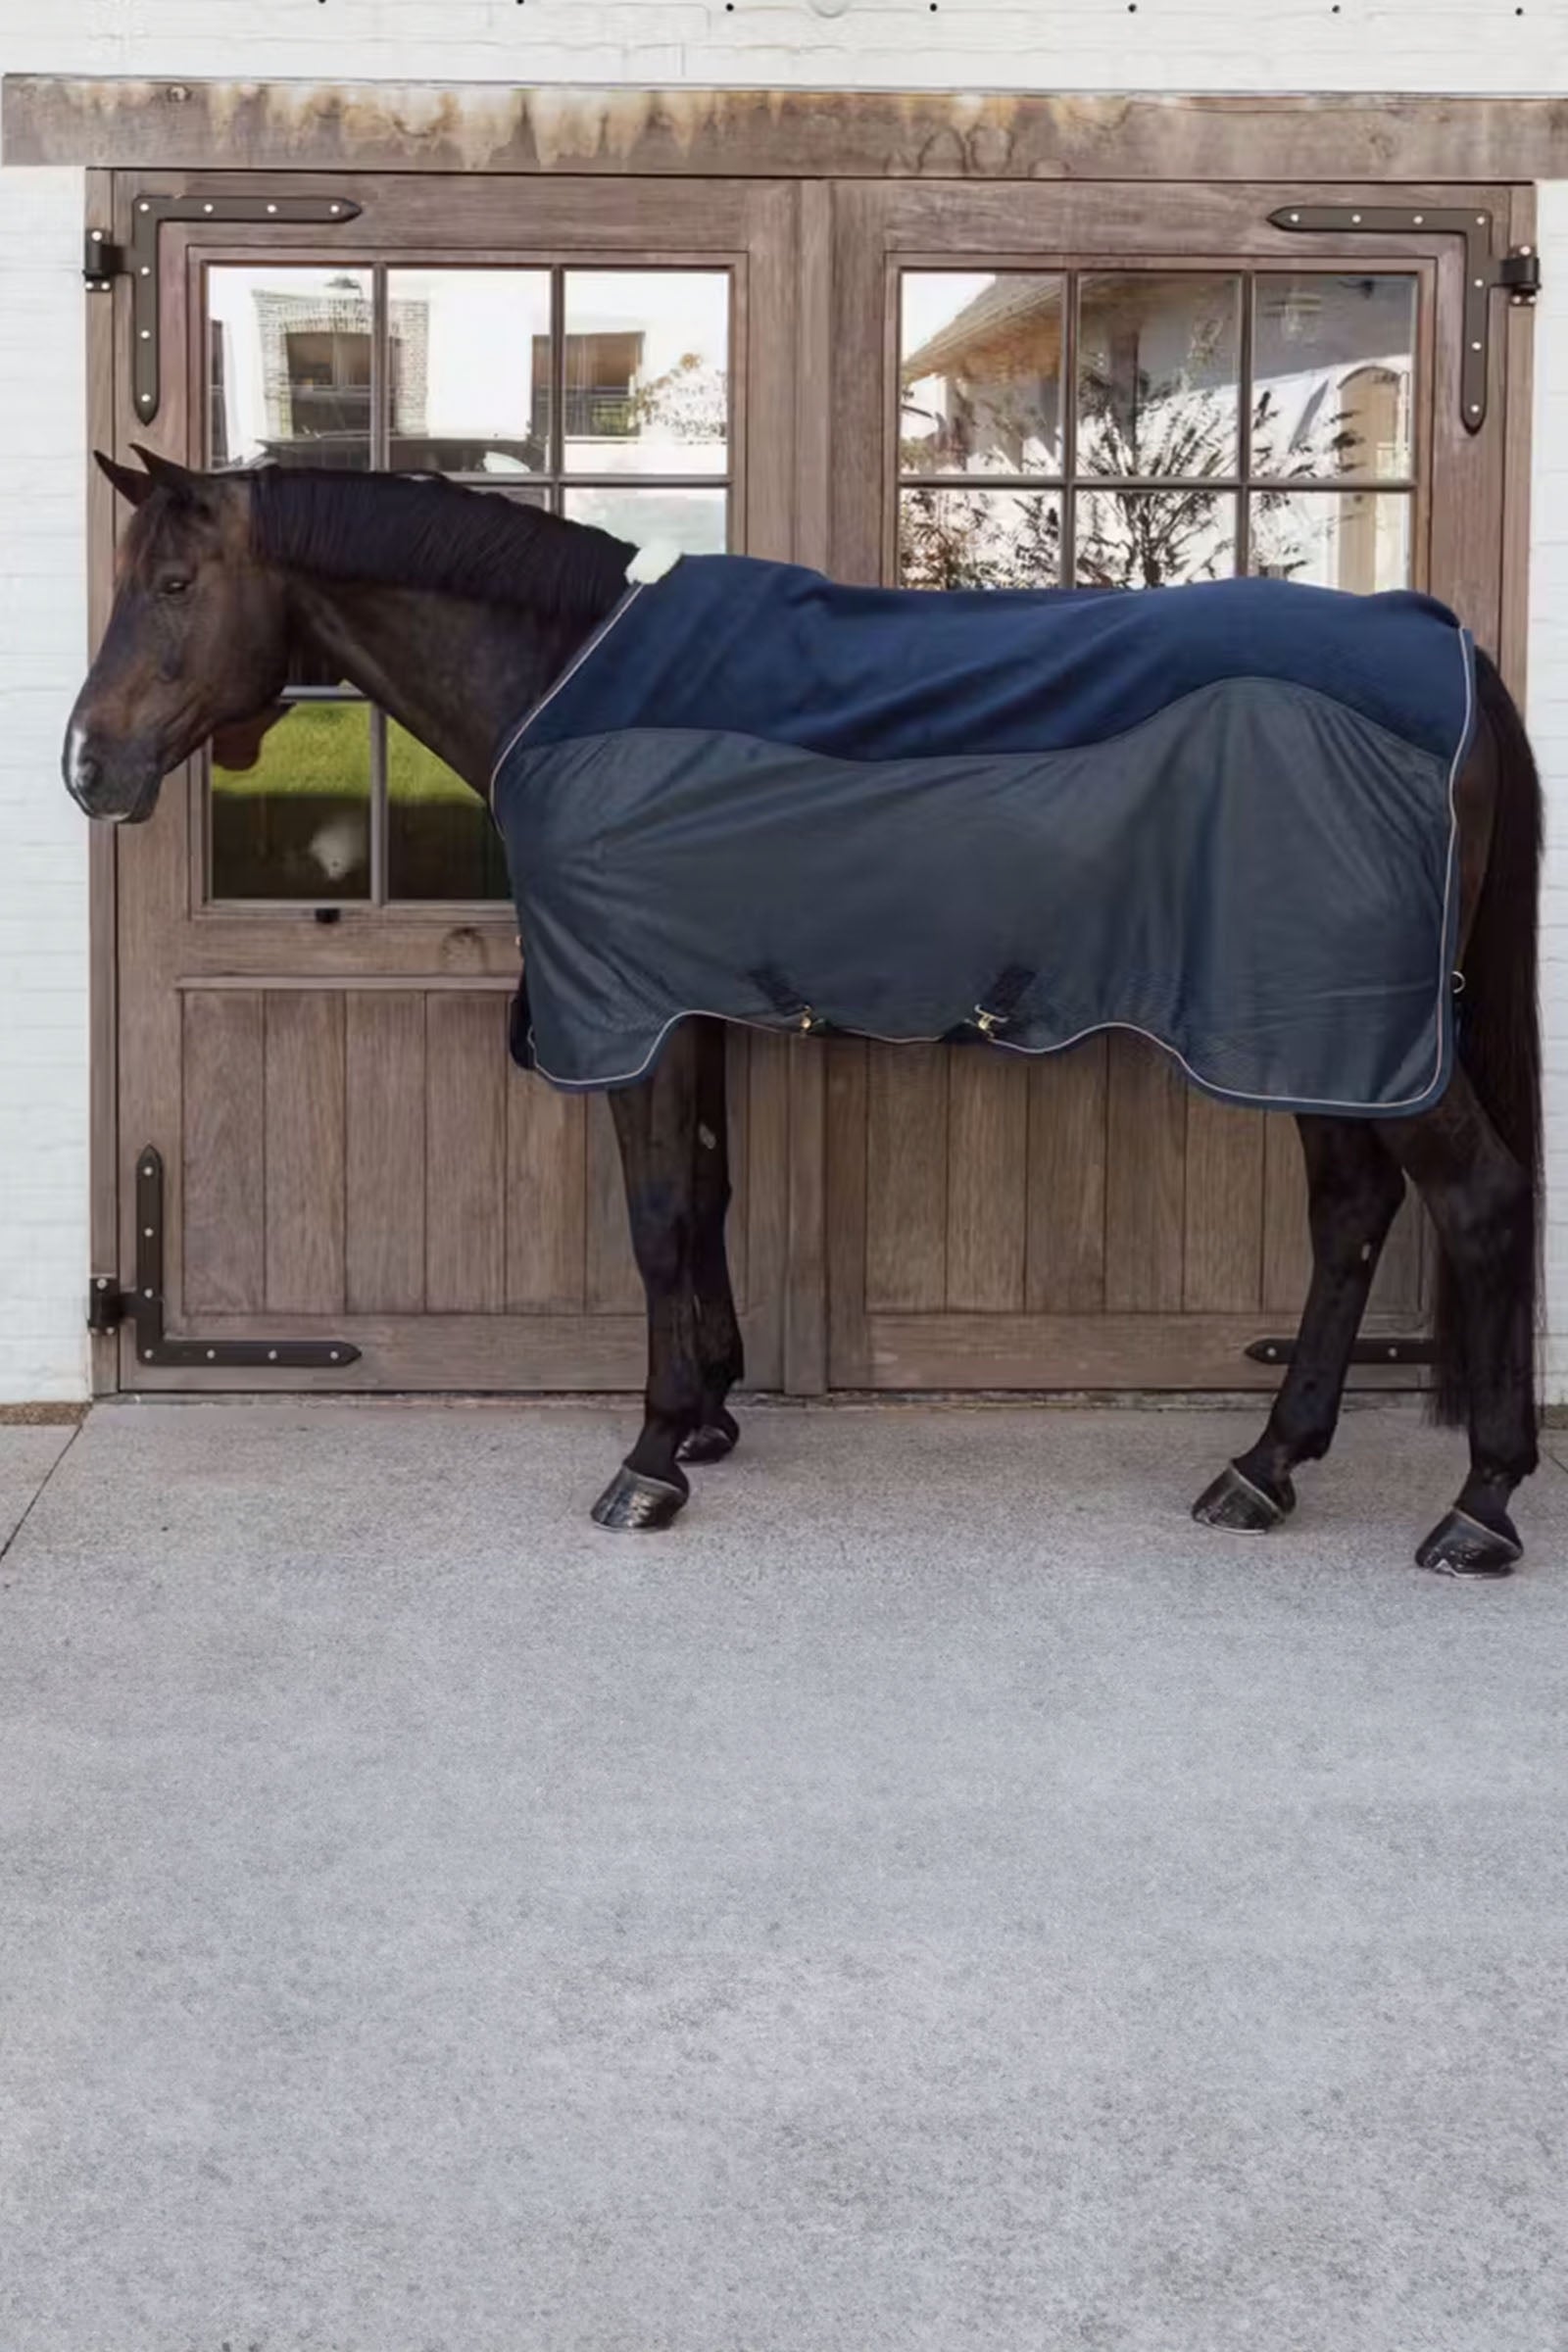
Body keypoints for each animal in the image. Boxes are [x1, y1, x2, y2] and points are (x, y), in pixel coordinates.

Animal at [64, 448, 1543, 1577]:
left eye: (175, 586)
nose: (88, 766)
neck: (565, 681)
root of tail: (1449, 651)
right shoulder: (691, 1007)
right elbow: (710, 1198)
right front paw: (712, 1416)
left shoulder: (634, 1013)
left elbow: (659, 1217)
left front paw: (651, 1456)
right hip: (1311, 1035)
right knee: (1352, 1212)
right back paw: (1266, 1467)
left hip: (1343, 1029)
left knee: (1477, 1200)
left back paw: (1478, 1507)